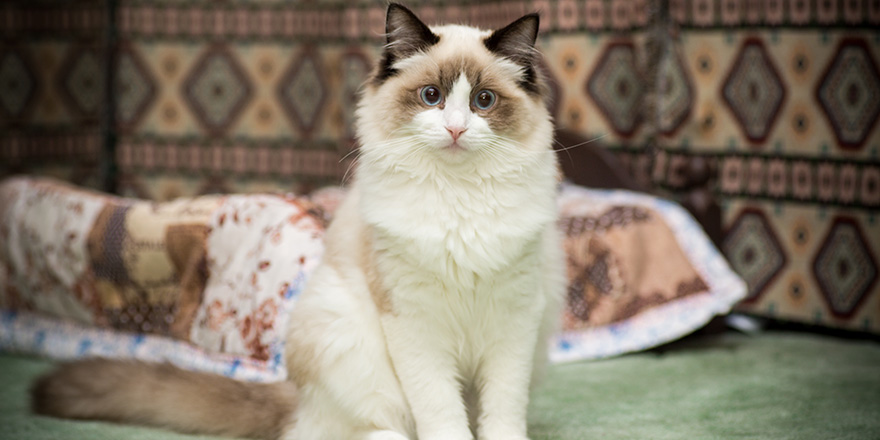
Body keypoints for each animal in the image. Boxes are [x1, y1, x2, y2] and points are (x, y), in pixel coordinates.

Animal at [31, 4, 564, 440]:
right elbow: (441, 414)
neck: (458, 201)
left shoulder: (515, 322)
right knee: (359, 429)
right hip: (349, 341)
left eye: (483, 102)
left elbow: (501, 412)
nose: (455, 129)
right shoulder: (415, 323)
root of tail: (297, 396)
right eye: (431, 96)